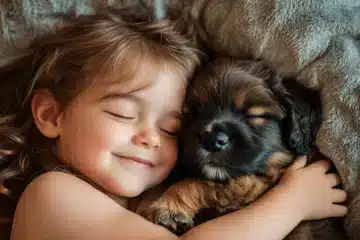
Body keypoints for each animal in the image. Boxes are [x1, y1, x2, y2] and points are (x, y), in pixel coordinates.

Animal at [139, 59, 346, 239]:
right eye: (193, 113)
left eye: (254, 115)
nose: (212, 139)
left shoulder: (252, 185)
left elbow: (196, 183)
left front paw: (168, 207)